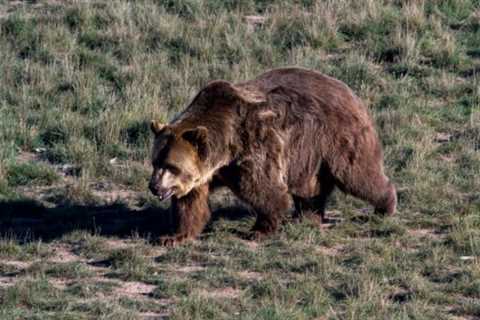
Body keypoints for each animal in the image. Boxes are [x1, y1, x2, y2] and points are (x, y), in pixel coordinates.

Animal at [148, 66, 396, 244]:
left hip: (336, 138)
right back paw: (307, 217)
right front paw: (174, 236)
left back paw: (385, 206)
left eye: (171, 166)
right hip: (308, 154)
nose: (154, 187)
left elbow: (265, 190)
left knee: (357, 175)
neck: (224, 150)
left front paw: (259, 230)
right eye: (155, 162)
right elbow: (190, 204)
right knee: (310, 188)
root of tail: (350, 92)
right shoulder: (204, 173)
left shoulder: (253, 146)